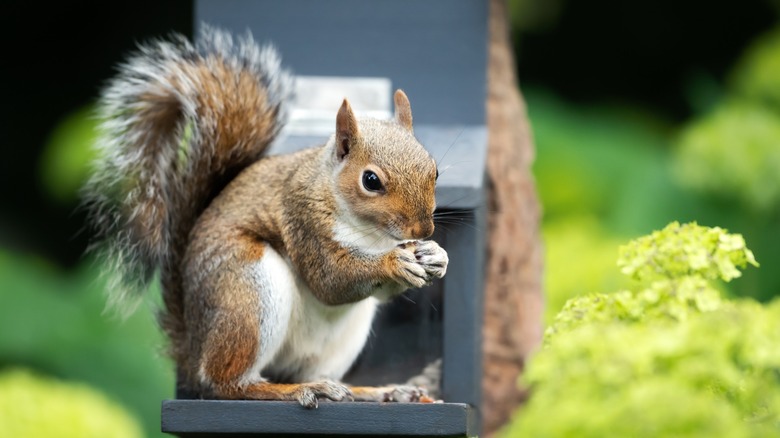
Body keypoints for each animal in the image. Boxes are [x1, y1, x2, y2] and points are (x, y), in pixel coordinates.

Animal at [83, 26, 449, 408]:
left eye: (435, 170)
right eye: (371, 181)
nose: (423, 228)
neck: (371, 234)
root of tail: (193, 347)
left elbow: (381, 293)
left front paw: (437, 256)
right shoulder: (302, 220)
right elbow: (330, 281)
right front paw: (392, 262)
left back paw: (379, 391)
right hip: (247, 292)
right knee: (227, 383)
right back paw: (298, 390)